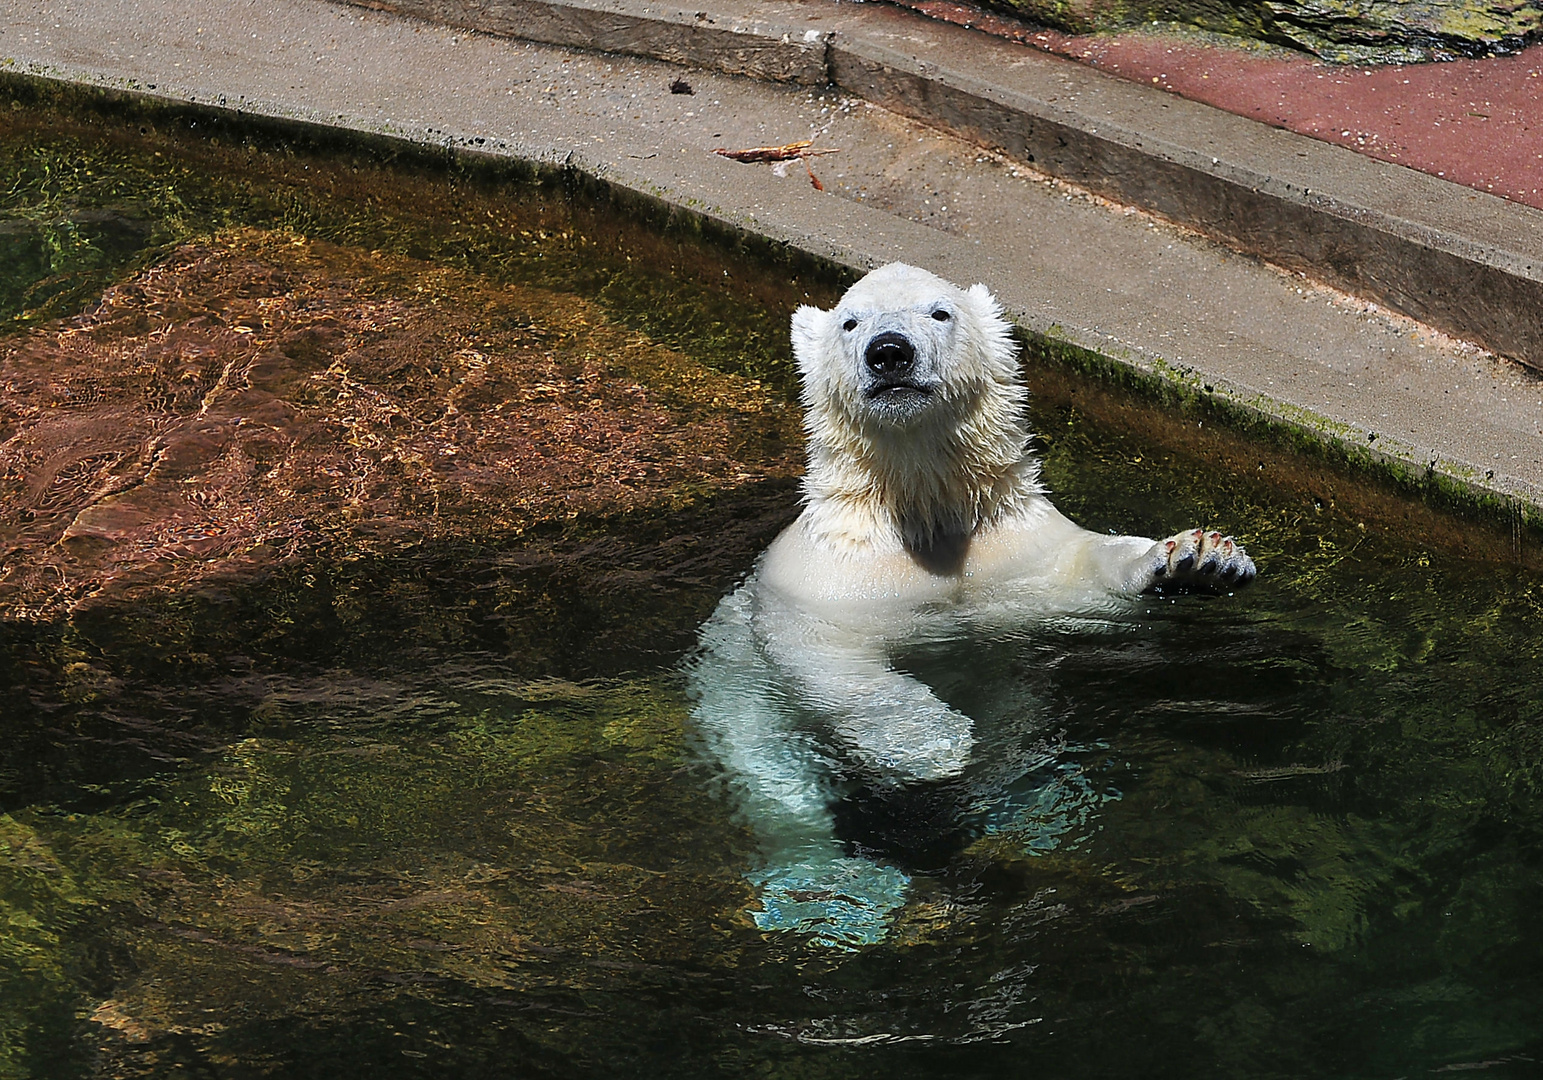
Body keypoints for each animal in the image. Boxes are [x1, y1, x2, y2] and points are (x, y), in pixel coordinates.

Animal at [688, 265, 1252, 950]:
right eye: (850, 321)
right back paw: (830, 894)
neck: (921, 517)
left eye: (940, 313)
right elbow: (831, 660)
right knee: (776, 784)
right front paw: (931, 743)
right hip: (736, 695)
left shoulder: (1012, 552)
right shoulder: (826, 581)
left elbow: (1081, 575)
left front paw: (1199, 560)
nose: (889, 352)